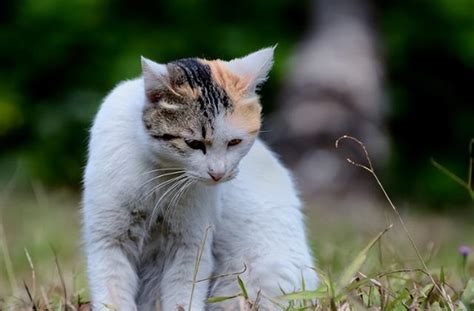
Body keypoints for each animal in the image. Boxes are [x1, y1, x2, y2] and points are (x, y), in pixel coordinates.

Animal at [82, 47, 318, 311]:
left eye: (234, 142)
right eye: (193, 143)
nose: (218, 173)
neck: (163, 176)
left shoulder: (190, 246)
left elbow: (184, 296)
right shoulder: (110, 239)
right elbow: (113, 295)